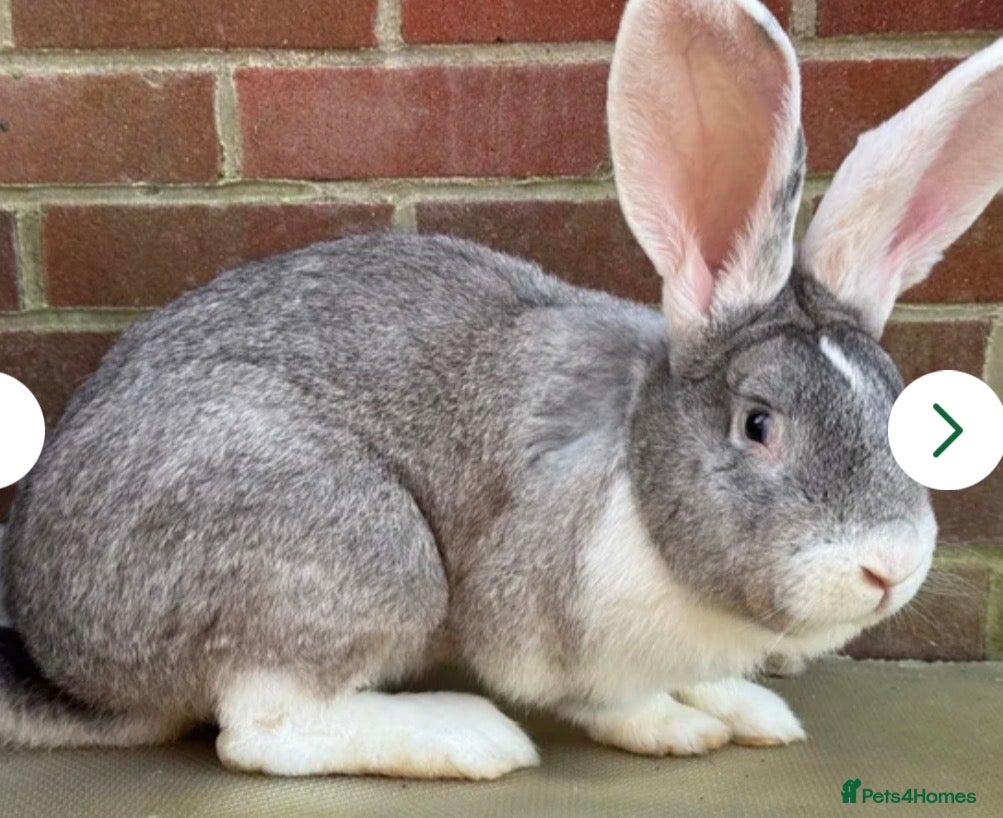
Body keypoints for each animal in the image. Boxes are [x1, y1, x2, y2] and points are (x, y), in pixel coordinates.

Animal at [2, 0, 1003, 780]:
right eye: (758, 424)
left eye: (907, 409)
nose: (888, 567)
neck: (637, 481)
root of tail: (70, 663)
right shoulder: (550, 612)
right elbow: (610, 698)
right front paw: (676, 730)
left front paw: (748, 712)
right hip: (357, 547)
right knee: (260, 729)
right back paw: (467, 738)